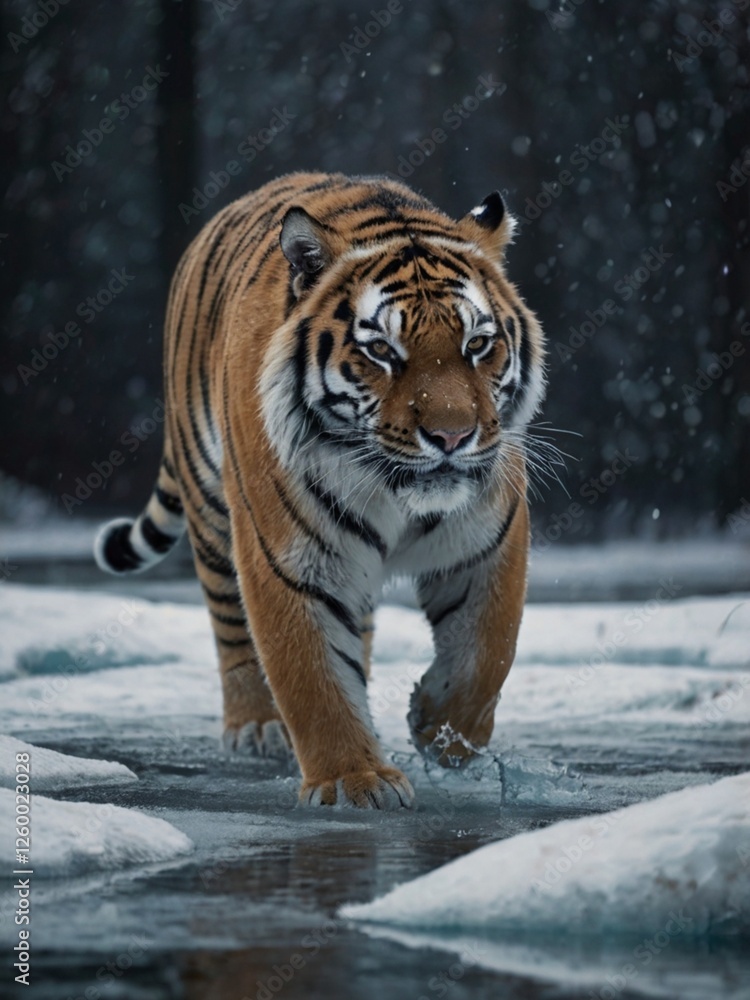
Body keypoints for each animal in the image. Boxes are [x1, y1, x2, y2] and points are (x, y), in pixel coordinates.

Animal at [94, 171, 546, 809]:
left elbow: (488, 649)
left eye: (477, 345)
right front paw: (353, 782)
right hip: (211, 511)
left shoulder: (490, 540)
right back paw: (256, 726)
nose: (452, 436)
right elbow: (312, 675)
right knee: (231, 629)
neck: (396, 496)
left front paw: (440, 730)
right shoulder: (289, 558)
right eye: (381, 351)